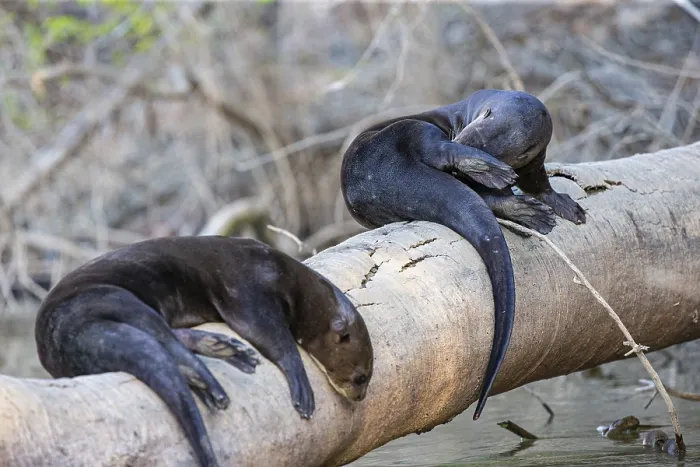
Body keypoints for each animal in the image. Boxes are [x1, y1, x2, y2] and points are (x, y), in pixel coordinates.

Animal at [35, 236, 374, 467]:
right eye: (361, 377)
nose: (360, 397)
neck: (287, 278)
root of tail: (52, 333)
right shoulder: (246, 289)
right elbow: (272, 336)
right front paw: (301, 388)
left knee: (168, 336)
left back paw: (223, 350)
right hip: (109, 296)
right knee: (164, 338)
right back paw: (214, 379)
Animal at [340, 89, 585, 420]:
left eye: (494, 141)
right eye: (484, 118)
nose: (465, 141)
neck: (461, 117)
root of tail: (379, 175)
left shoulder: (534, 159)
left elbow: (537, 183)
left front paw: (561, 203)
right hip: (407, 131)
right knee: (439, 151)